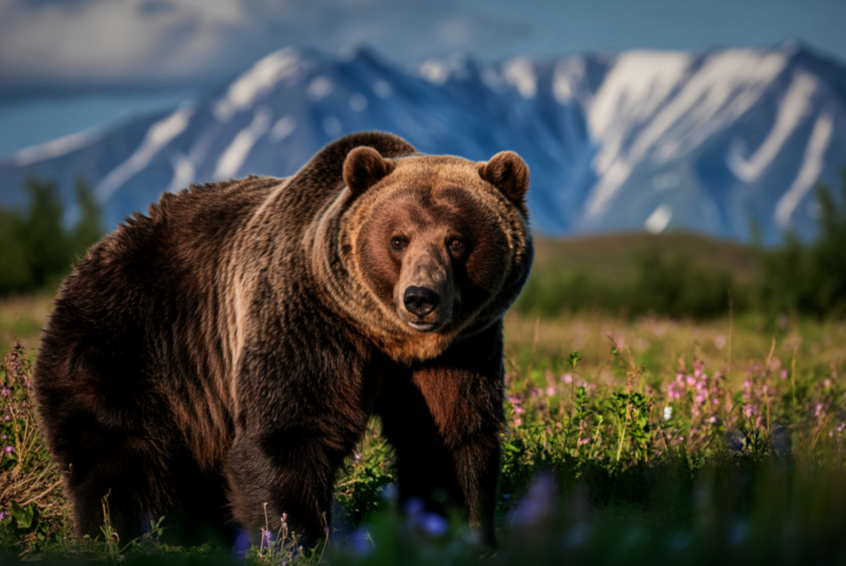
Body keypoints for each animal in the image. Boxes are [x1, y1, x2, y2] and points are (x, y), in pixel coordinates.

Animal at [33, 131, 533, 548]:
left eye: (456, 240)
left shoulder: (462, 348)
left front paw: (462, 534)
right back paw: (122, 536)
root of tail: (92, 254)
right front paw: (299, 540)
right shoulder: (307, 318)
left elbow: (451, 439)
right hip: (126, 344)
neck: (387, 338)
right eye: (398, 239)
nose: (420, 298)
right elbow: (287, 434)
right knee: (121, 455)